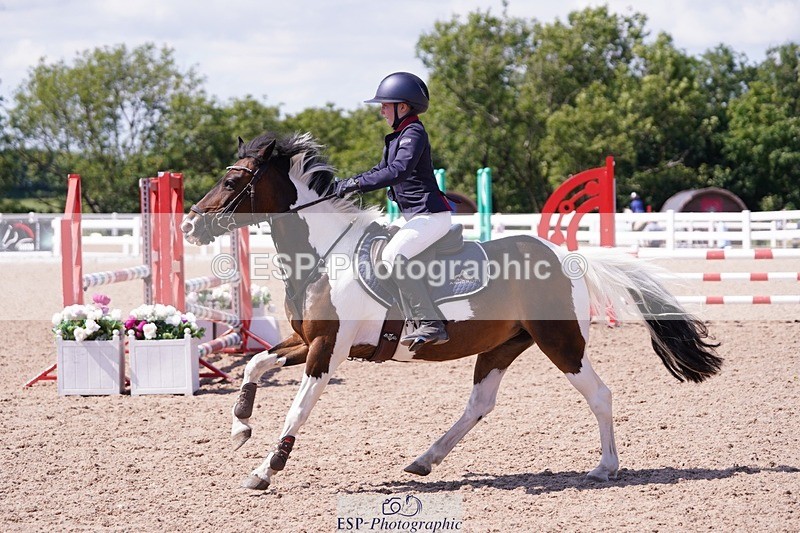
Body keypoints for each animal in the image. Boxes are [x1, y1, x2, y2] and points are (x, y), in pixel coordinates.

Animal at [181, 132, 722, 491]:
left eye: (233, 180)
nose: (189, 224)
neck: (324, 255)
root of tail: (567, 257)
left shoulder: (327, 350)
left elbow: (298, 408)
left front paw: (263, 469)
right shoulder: (307, 340)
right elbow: (255, 362)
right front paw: (240, 426)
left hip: (560, 342)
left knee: (600, 394)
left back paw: (606, 466)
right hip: (504, 344)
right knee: (480, 403)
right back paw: (425, 460)